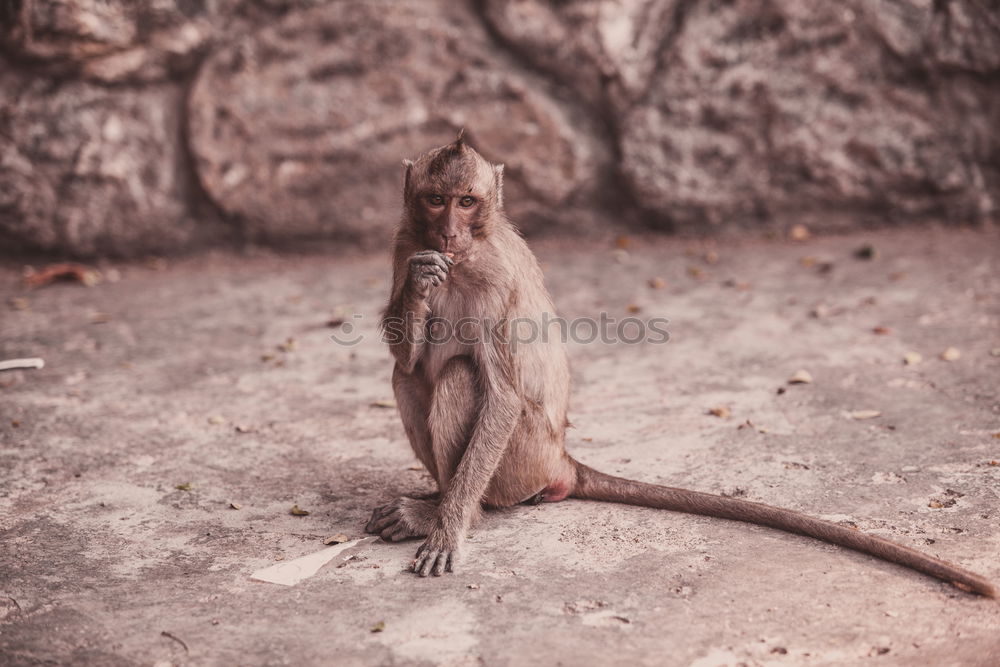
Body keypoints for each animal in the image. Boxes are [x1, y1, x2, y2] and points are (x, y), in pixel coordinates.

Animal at [364, 130, 996, 600]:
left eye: (467, 201)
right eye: (436, 199)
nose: (448, 231)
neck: (467, 250)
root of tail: (562, 459)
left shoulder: (495, 281)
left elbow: (501, 394)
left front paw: (450, 528)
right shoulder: (403, 242)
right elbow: (409, 352)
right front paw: (421, 284)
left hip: (521, 464)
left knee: (459, 379)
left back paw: (456, 511)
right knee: (408, 377)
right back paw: (433, 499)